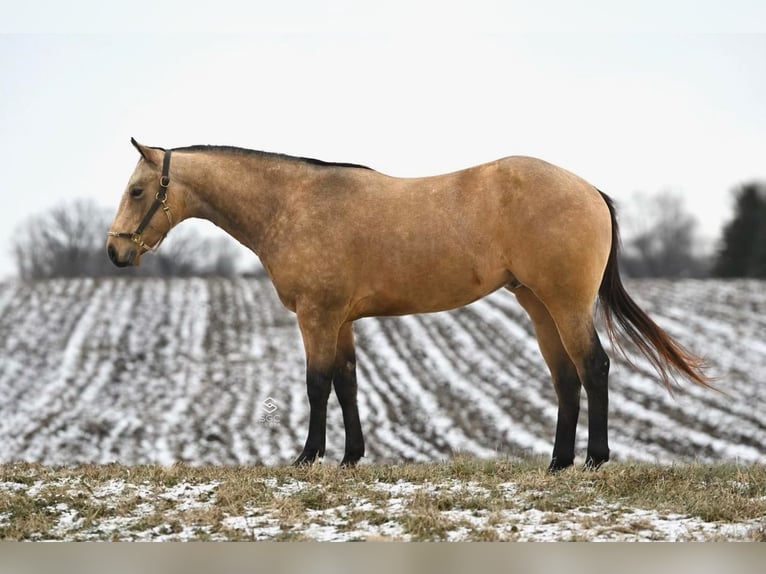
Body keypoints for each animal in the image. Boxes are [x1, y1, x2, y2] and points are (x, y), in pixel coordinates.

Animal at [108, 140, 712, 472]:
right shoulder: (340, 320)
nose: (115, 251)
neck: (294, 204)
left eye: (137, 191)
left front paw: (307, 457)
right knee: (566, 378)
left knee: (593, 368)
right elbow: (348, 383)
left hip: (565, 303)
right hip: (538, 306)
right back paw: (558, 463)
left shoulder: (316, 316)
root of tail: (588, 190)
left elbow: (318, 384)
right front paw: (350, 457)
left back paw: (591, 461)